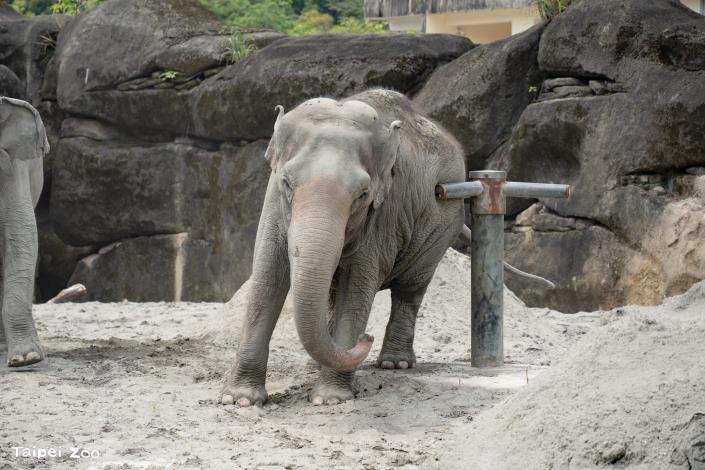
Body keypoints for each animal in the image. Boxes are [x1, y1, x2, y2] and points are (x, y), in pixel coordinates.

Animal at [221, 89, 466, 406]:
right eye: (286, 182)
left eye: (363, 194)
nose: (367, 338)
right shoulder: (272, 198)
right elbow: (268, 275)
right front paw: (240, 400)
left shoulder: (382, 216)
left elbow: (357, 286)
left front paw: (329, 399)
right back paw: (315, 363)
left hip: (443, 222)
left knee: (410, 289)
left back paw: (394, 363)